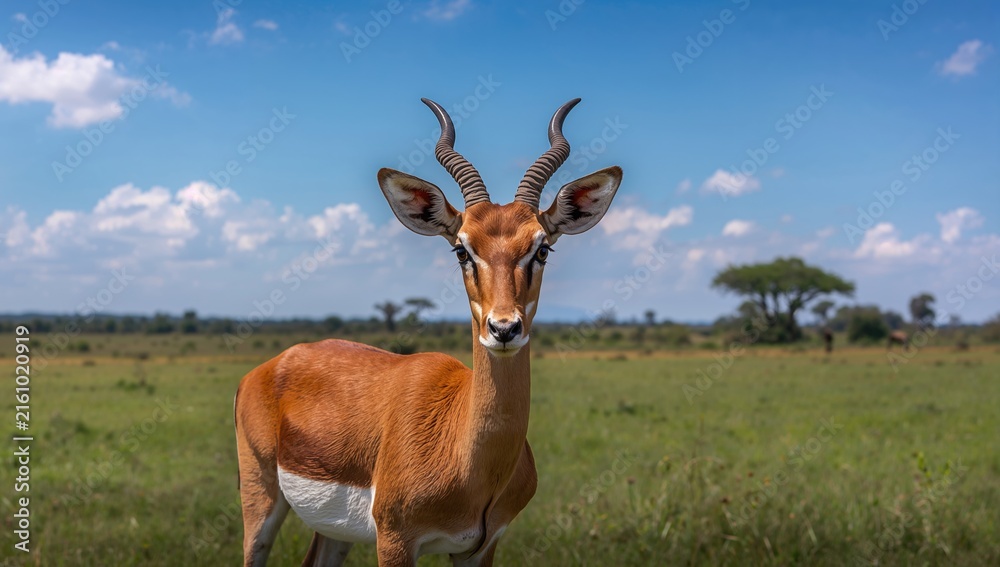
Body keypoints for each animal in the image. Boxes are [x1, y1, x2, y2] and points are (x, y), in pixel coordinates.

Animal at [235, 98, 622, 566]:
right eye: (461, 249)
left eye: (542, 248)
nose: (504, 328)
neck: (467, 458)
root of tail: (271, 366)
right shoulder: (396, 539)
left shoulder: (481, 547)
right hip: (261, 501)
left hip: (335, 532)